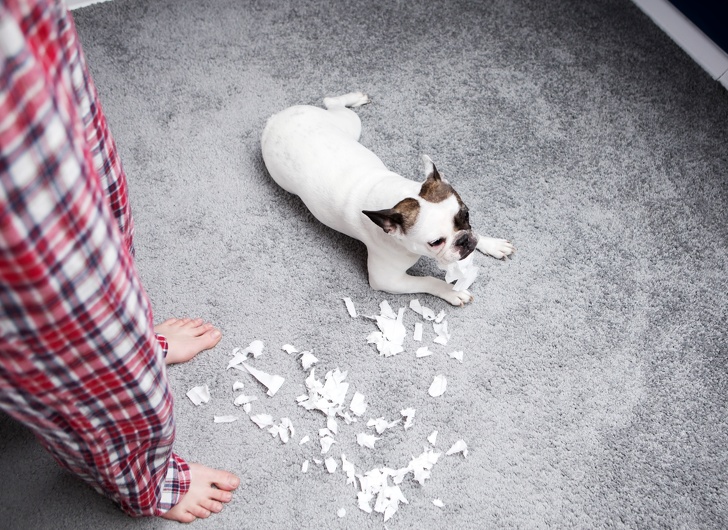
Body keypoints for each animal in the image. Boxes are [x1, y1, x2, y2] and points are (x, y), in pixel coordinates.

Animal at [260, 92, 514, 306]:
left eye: (466, 214)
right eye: (435, 242)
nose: (463, 241)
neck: (399, 198)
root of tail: (274, 119)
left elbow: (477, 234)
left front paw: (490, 243)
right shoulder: (388, 280)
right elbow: (427, 280)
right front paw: (451, 291)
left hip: (348, 126)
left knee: (333, 103)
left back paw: (354, 98)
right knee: (331, 102)